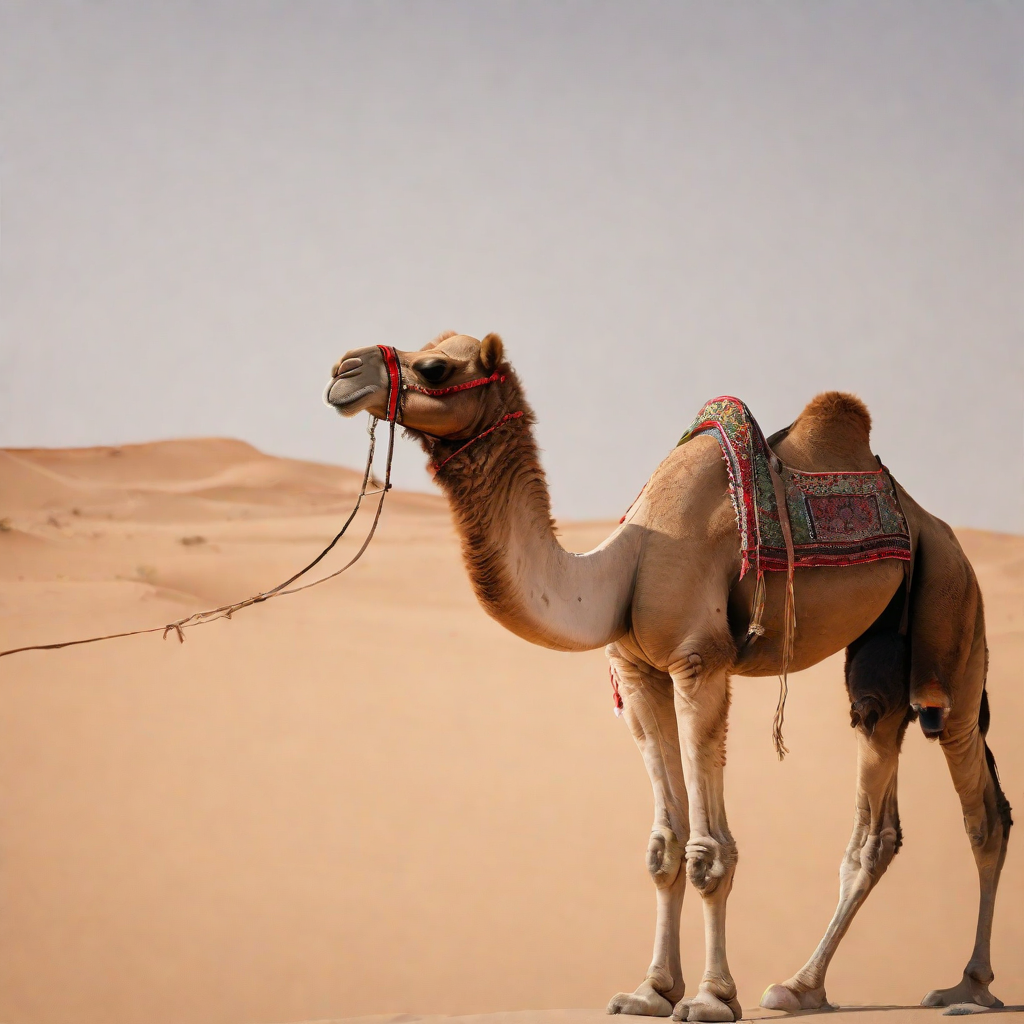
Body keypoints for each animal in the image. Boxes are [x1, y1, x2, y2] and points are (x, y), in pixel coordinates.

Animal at [324, 333, 1012, 1021]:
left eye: (435, 367)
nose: (342, 371)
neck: (626, 564)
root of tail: (937, 528)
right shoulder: (638, 674)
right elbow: (663, 846)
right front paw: (651, 990)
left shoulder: (698, 664)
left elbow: (708, 851)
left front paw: (710, 997)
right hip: (882, 655)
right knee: (879, 796)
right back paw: (801, 987)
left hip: (952, 606)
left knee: (982, 811)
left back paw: (969, 988)